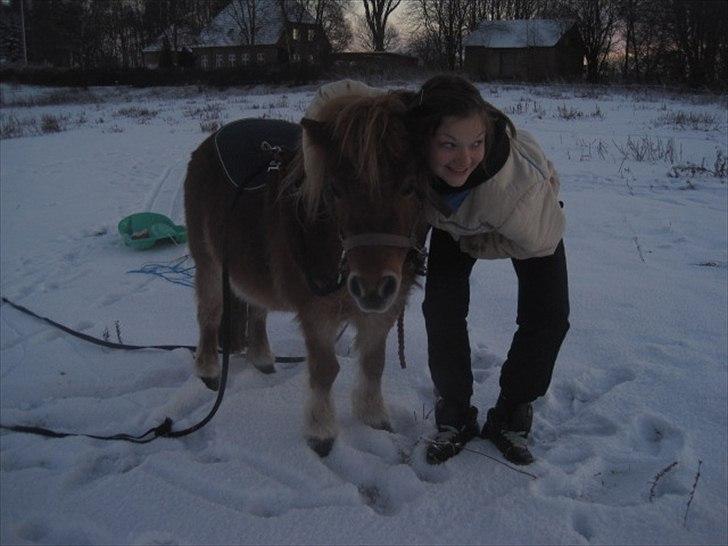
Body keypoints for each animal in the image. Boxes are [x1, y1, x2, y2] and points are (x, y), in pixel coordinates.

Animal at [183, 92, 429, 456]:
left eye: (411, 187)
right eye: (336, 190)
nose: (371, 288)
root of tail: (208, 143)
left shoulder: (382, 312)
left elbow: (374, 363)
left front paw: (373, 418)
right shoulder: (317, 314)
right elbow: (326, 371)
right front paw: (321, 433)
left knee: (257, 309)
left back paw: (262, 359)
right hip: (210, 264)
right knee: (209, 315)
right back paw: (210, 370)